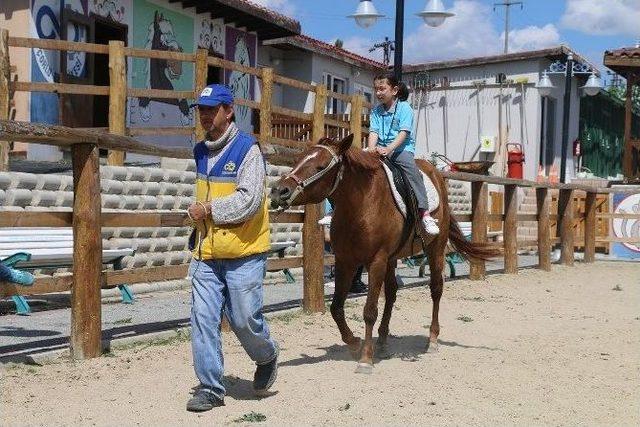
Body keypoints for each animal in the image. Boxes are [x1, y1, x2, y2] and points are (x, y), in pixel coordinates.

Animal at [270, 135, 496, 374]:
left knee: (436, 290)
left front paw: (365, 359)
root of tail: (435, 174)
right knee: (392, 293)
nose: (279, 191)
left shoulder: (375, 261)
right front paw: (354, 342)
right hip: (392, 258)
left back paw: (432, 339)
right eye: (298, 160)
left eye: (320, 166)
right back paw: (383, 341)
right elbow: (336, 308)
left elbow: (369, 311)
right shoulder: (345, 262)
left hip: (434, 249)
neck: (361, 206)